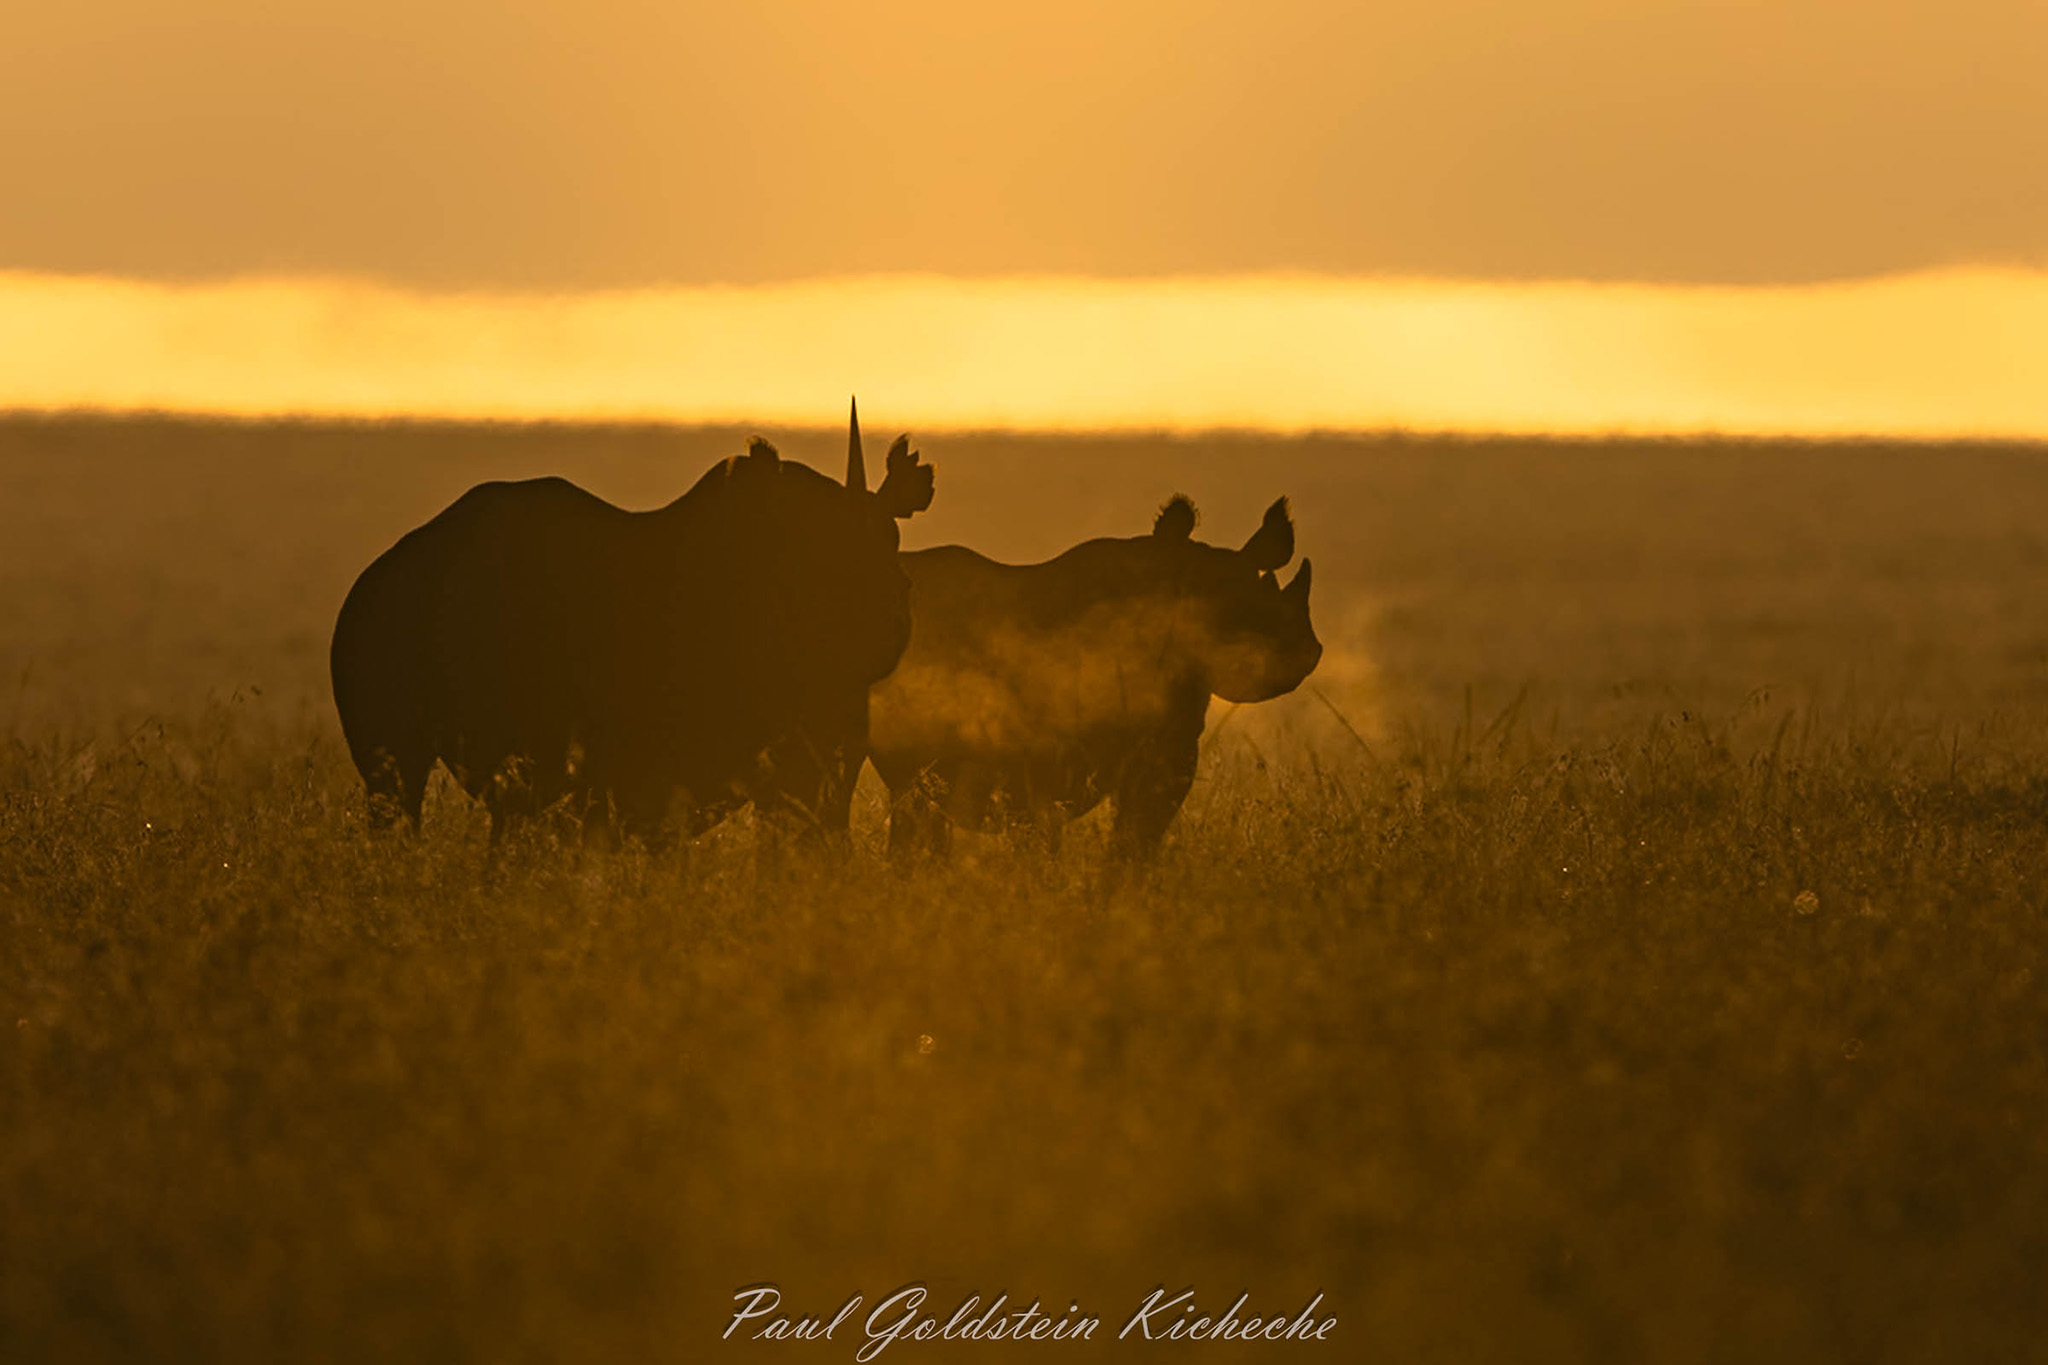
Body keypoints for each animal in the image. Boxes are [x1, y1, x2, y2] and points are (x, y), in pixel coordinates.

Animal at [330, 402, 932, 841]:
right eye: (820, 574)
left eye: (895, 557)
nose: (883, 620)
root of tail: (373, 575)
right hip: (382, 644)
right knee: (405, 792)